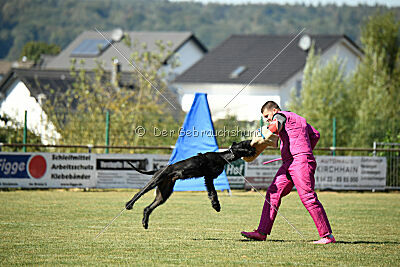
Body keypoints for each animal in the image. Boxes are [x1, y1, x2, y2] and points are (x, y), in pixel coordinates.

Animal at [126, 140, 256, 230]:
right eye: (245, 145)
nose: (254, 148)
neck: (223, 157)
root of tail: (159, 169)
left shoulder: (209, 179)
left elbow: (212, 193)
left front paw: (216, 205)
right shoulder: (209, 177)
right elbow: (213, 193)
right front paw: (216, 205)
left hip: (163, 194)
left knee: (148, 208)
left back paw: (145, 222)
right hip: (155, 181)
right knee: (139, 193)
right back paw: (129, 205)